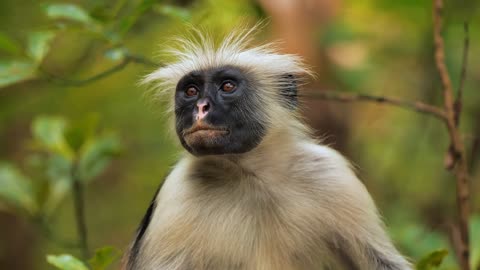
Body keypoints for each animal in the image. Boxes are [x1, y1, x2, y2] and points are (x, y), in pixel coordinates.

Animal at [124, 26, 412, 270]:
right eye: (191, 91)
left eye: (227, 86)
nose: (201, 107)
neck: (250, 173)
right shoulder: (176, 193)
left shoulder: (331, 175)